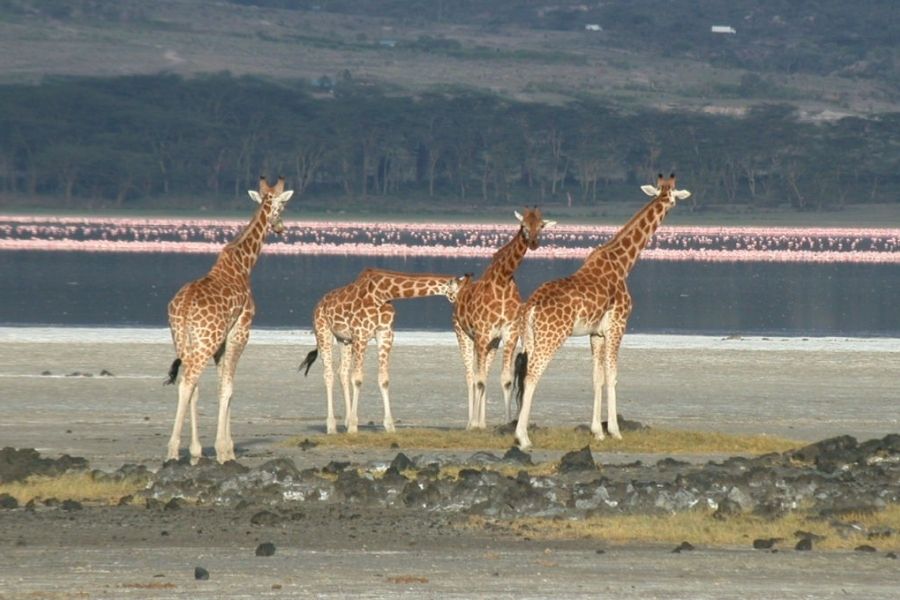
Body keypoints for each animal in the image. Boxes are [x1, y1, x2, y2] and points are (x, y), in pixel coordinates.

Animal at [165, 175, 296, 464]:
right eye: (282, 206)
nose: (281, 228)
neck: (243, 265)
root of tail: (184, 306)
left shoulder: (222, 342)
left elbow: (217, 386)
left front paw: (210, 449)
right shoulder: (240, 332)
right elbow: (228, 388)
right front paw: (226, 451)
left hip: (183, 339)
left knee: (191, 384)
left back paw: (191, 451)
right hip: (205, 341)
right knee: (187, 382)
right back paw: (172, 451)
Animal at [300, 270, 472, 434]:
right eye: (462, 293)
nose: (462, 309)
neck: (383, 293)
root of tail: (318, 305)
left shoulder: (385, 334)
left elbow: (383, 379)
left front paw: (389, 426)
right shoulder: (361, 334)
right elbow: (357, 378)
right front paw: (354, 426)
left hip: (344, 340)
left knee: (342, 372)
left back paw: (346, 421)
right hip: (324, 333)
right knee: (328, 374)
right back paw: (331, 426)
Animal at [454, 209, 552, 428]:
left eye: (541, 225)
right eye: (523, 225)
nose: (533, 242)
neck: (503, 280)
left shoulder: (509, 335)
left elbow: (505, 380)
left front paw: (507, 422)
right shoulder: (481, 333)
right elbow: (479, 379)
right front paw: (474, 424)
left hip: (491, 343)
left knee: (482, 374)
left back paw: (482, 422)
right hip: (464, 335)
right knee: (470, 375)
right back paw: (470, 422)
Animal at [510, 173, 692, 450]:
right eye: (671, 195)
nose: (670, 204)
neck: (623, 263)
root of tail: (530, 306)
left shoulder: (595, 333)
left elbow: (597, 377)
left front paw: (597, 431)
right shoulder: (618, 325)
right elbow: (613, 375)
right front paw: (615, 431)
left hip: (530, 338)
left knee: (524, 375)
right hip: (551, 337)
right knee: (532, 376)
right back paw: (523, 438)